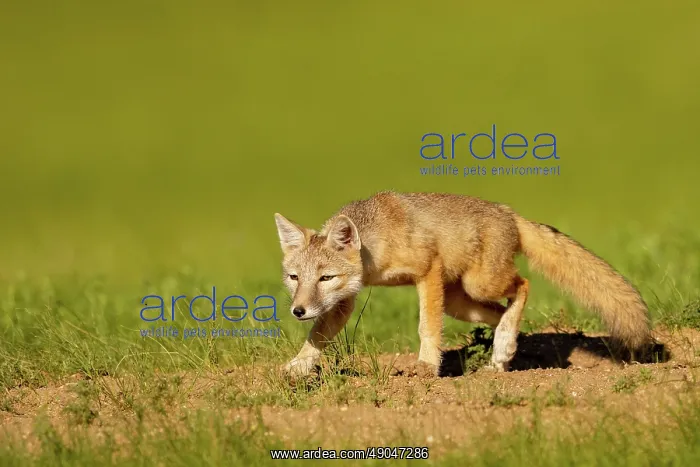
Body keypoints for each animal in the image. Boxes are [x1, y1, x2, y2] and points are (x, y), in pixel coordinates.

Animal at [273, 191, 652, 378]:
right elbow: (317, 336)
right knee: (502, 314)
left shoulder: (428, 271)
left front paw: (427, 366)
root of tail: (508, 212)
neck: (376, 246)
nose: (298, 310)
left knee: (524, 284)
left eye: (325, 277)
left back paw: (503, 346)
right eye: (294, 278)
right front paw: (297, 367)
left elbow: (427, 326)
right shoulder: (346, 300)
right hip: (461, 302)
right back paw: (503, 352)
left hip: (480, 284)